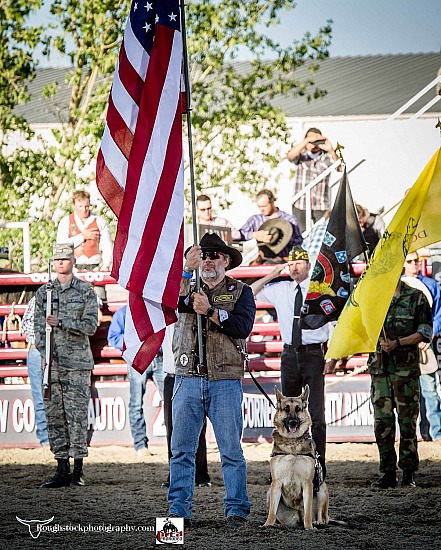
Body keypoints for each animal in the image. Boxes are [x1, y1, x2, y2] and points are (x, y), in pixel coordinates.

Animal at [262, 386, 326, 532]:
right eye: (286, 409)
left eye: (298, 409)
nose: (292, 422)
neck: (292, 442)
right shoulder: (276, 483)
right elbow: (271, 511)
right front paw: (267, 525)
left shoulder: (308, 483)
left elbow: (308, 510)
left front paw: (309, 527)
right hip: (269, 492)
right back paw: (279, 524)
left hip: (322, 489)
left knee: (323, 517)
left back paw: (317, 522)